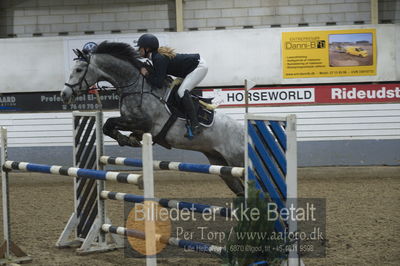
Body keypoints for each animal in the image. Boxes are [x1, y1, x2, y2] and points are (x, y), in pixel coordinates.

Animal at [61, 41, 245, 195]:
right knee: (240, 191)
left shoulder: (144, 122)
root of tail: (244, 133)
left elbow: (109, 122)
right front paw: (129, 139)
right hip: (221, 165)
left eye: (78, 70)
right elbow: (109, 126)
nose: (64, 94)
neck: (134, 85)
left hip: (237, 162)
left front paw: (126, 139)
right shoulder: (134, 123)